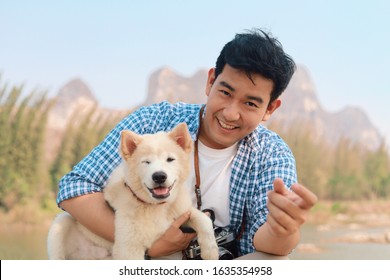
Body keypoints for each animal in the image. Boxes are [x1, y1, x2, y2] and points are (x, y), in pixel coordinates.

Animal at [46, 123, 218, 260]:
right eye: (146, 162)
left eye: (170, 159)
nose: (159, 176)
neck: (156, 207)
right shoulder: (128, 247)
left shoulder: (182, 212)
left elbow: (203, 218)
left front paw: (211, 251)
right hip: (60, 225)